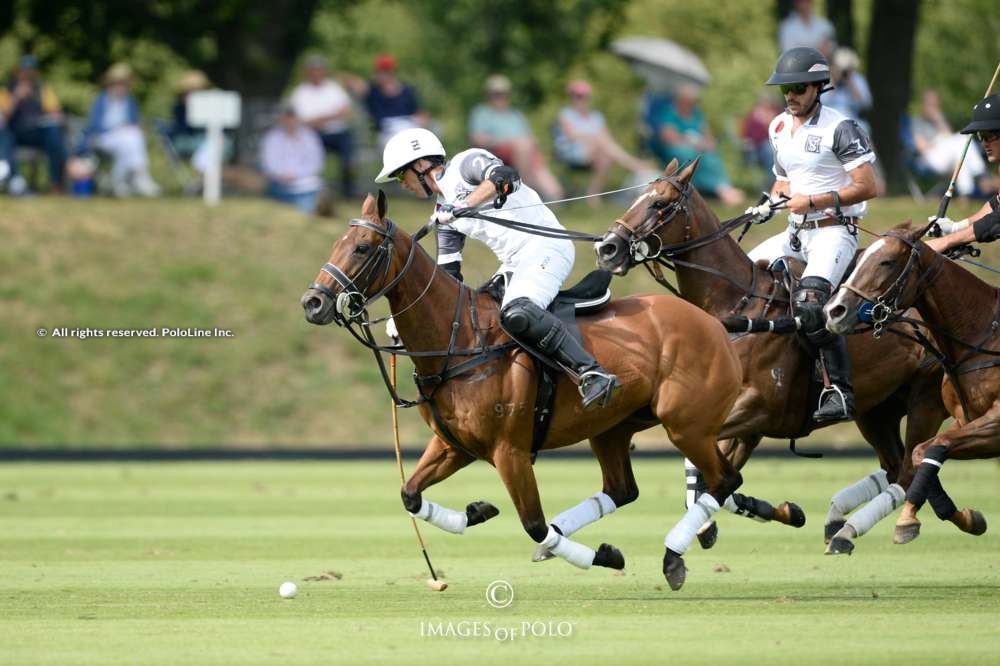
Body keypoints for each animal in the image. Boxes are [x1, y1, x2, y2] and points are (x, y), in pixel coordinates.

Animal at [300, 191, 748, 588]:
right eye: (337, 243)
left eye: (361, 248)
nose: (312, 303)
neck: (459, 340)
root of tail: (713, 322)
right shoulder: (454, 446)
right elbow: (409, 493)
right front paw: (478, 511)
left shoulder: (509, 451)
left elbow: (533, 523)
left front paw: (598, 555)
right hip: (613, 428)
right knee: (624, 489)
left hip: (686, 426)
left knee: (725, 480)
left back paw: (673, 555)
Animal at [588, 158, 956, 552]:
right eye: (637, 197)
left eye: (660, 204)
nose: (607, 249)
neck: (735, 308)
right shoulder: (739, 424)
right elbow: (715, 477)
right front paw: (767, 513)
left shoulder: (755, 409)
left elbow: (711, 470)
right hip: (878, 411)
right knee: (899, 465)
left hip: (923, 399)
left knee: (911, 464)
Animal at [828, 220, 992, 544]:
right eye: (858, 260)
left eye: (887, 261)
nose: (834, 311)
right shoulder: (963, 420)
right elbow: (923, 453)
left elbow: (923, 454)